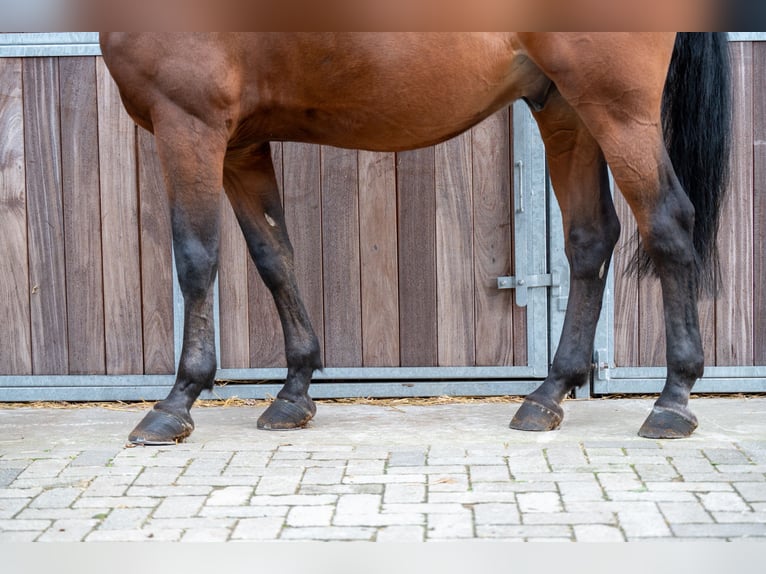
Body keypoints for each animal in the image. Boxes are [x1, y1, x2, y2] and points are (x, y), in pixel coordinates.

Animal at [100, 32, 732, 446]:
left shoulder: (190, 122)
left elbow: (195, 259)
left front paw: (175, 402)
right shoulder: (240, 145)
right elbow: (274, 257)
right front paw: (294, 393)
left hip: (616, 107)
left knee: (668, 226)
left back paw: (672, 402)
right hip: (565, 108)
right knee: (590, 239)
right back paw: (547, 395)